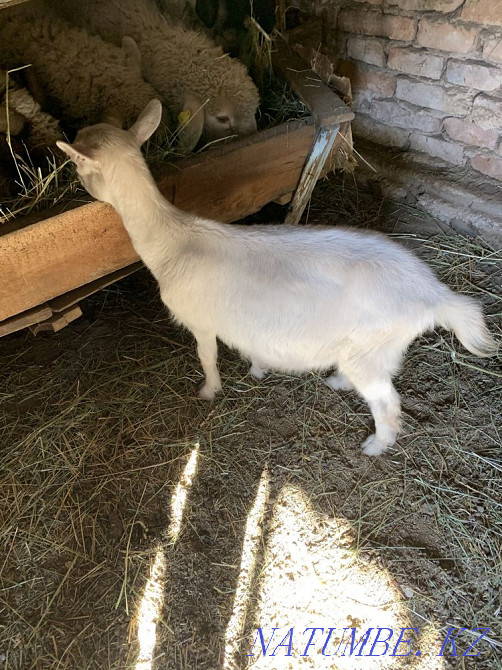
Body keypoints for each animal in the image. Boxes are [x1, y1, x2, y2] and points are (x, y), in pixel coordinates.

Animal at [57, 100, 497, 456]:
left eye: (77, 164)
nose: (74, 180)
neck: (172, 239)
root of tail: (434, 293)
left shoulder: (201, 321)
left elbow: (207, 357)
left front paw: (208, 391)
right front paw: (258, 368)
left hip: (371, 347)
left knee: (387, 402)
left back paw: (375, 445)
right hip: (373, 347)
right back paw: (339, 382)